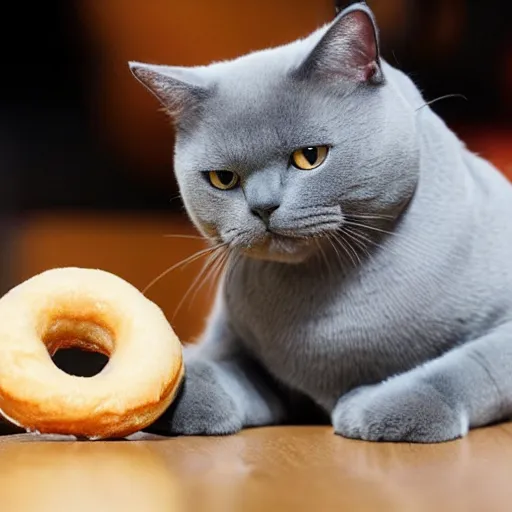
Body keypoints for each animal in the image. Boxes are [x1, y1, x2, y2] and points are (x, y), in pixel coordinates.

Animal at [130, 3, 512, 444]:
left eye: (310, 157)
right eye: (223, 179)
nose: (263, 207)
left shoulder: (503, 332)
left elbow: (463, 368)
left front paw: (380, 410)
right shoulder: (236, 346)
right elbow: (212, 366)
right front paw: (171, 394)